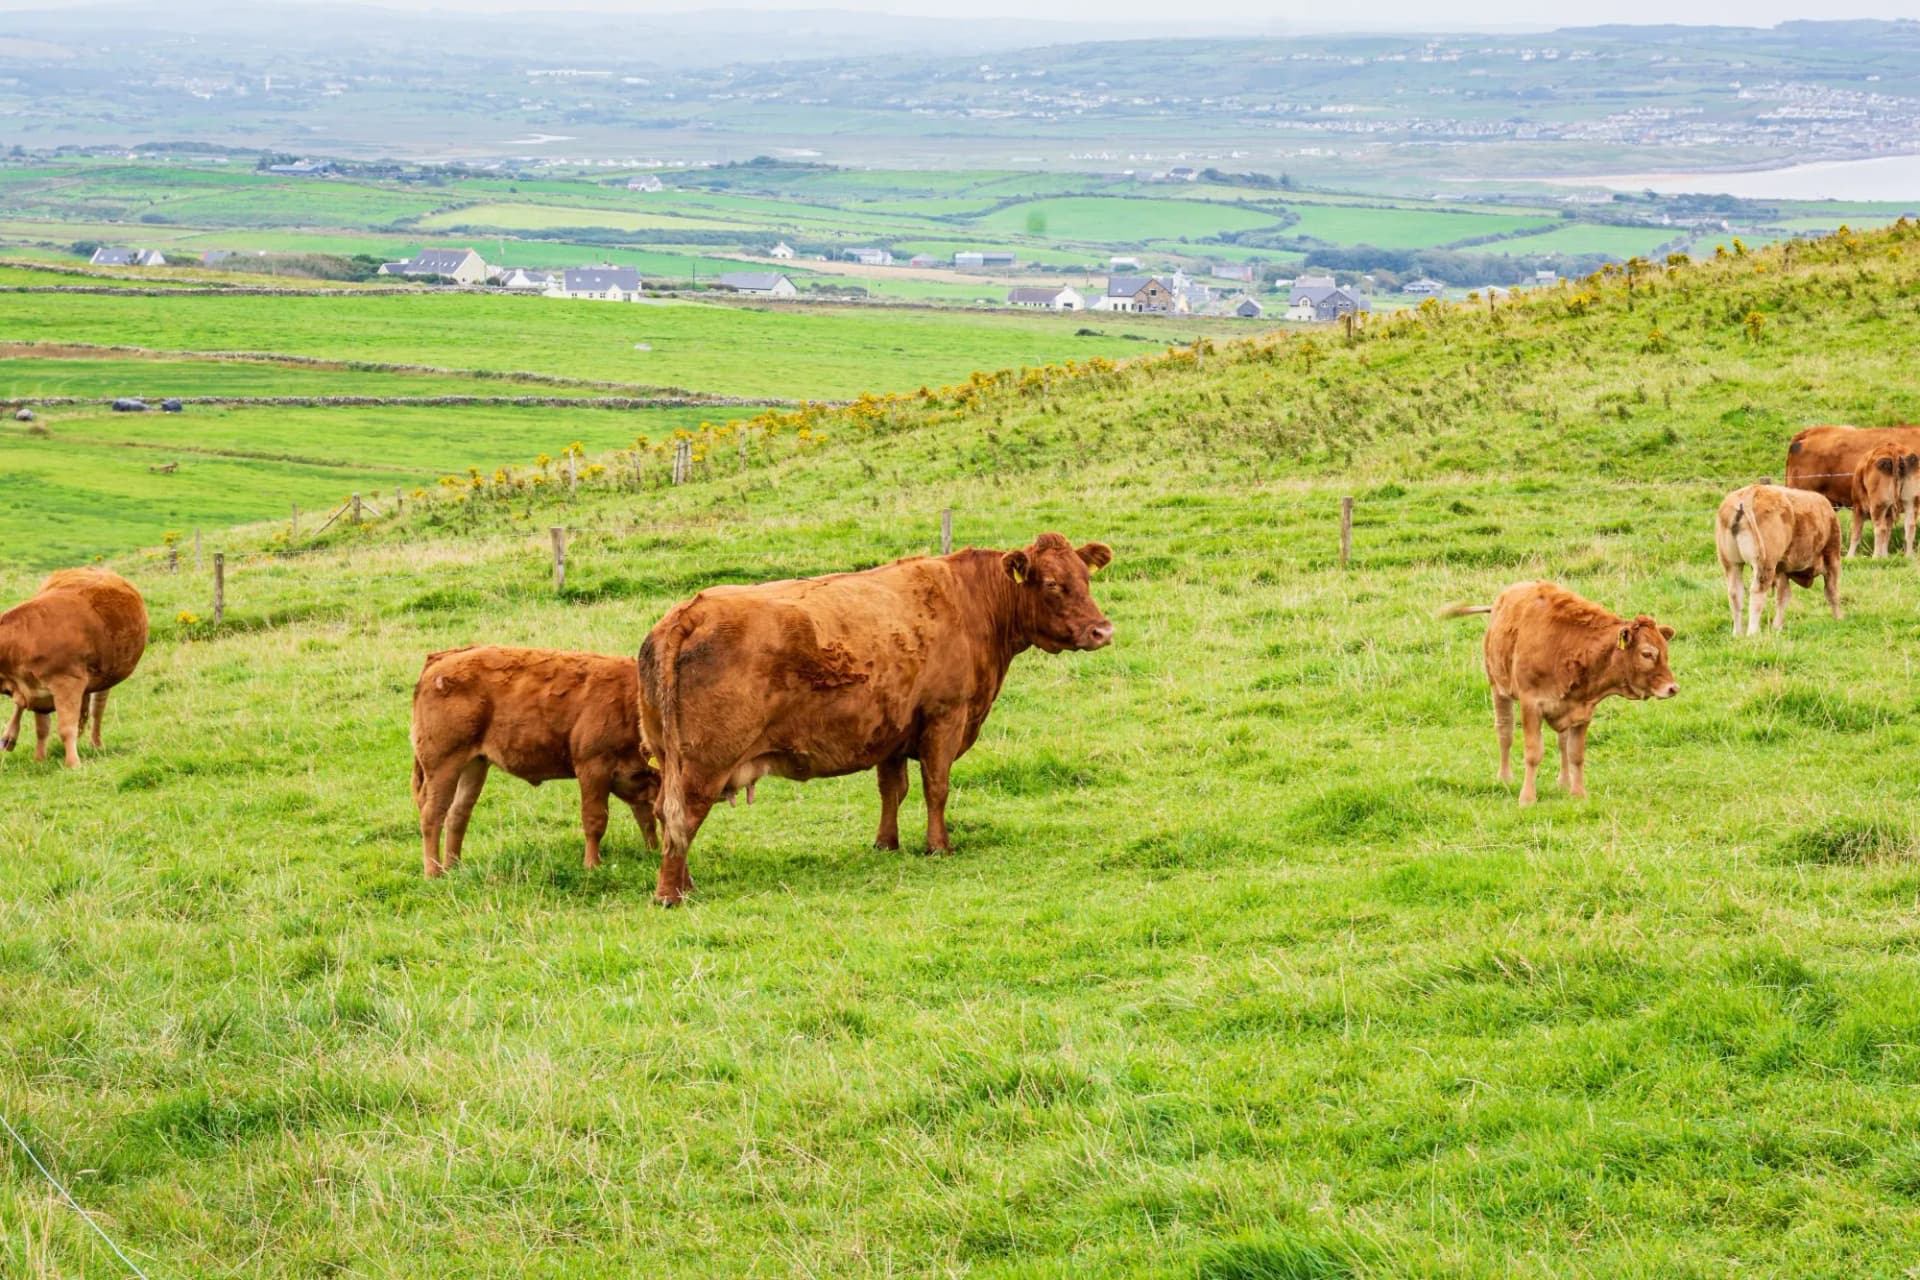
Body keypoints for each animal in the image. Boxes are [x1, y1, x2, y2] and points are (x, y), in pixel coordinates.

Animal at [0, 568, 148, 767]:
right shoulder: (37, 689)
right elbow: (41, 728)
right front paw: (39, 759)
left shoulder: (67, 682)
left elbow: (66, 728)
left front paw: (73, 764)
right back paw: (9, 737)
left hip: (107, 675)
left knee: (97, 709)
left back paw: (96, 744)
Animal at [410, 646, 660, 878]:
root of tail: (443, 658)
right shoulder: (593, 768)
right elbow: (595, 819)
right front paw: (592, 865)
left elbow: (647, 817)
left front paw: (653, 853)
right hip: (443, 766)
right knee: (433, 814)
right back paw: (434, 873)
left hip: (474, 765)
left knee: (458, 813)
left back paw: (454, 867)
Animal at [637, 532, 1115, 905]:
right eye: (1052, 583)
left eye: (1086, 578)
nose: (1102, 630)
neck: (971, 602)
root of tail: (690, 612)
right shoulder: (946, 717)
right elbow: (936, 787)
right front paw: (938, 847)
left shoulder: (893, 729)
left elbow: (892, 790)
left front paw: (886, 843)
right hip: (704, 764)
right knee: (683, 816)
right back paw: (670, 893)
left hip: (668, 756)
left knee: (665, 813)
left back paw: (685, 883)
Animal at [1442, 581, 1677, 807]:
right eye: (1647, 653)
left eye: (1666, 652)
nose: (1673, 688)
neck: (1568, 645)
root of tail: (1503, 598)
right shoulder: (1530, 704)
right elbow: (1533, 753)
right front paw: (1527, 798)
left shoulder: (1582, 709)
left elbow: (1576, 754)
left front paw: (1578, 793)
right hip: (1498, 688)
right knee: (1505, 731)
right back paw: (1505, 778)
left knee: (1561, 742)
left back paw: (1564, 782)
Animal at [1715, 484, 1843, 635]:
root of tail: (1752, 490)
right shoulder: (1832, 557)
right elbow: (1832, 592)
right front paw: (1839, 619)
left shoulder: (1781, 570)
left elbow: (1783, 596)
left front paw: (1777, 627)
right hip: (1764, 564)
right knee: (1757, 592)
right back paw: (1753, 633)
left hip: (1732, 564)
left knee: (1735, 593)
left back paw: (1737, 634)